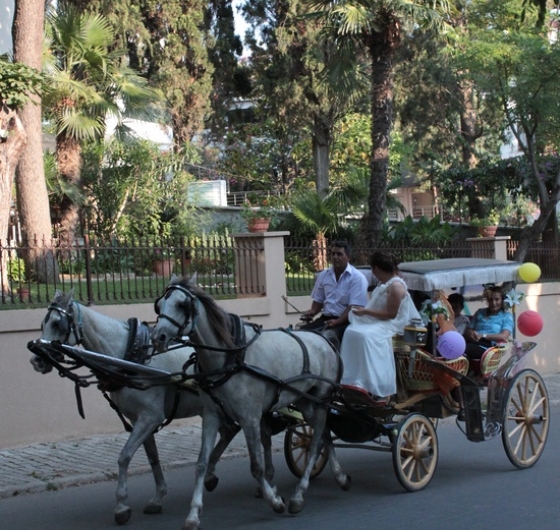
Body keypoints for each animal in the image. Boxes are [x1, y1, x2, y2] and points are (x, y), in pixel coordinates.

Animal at [30, 288, 241, 524]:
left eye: (57, 323)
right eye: (42, 323)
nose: (36, 361)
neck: (128, 355)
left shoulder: (150, 417)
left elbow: (124, 456)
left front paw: (121, 505)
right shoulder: (139, 419)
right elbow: (152, 458)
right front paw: (158, 498)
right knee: (230, 430)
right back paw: (210, 474)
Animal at [151, 276, 348, 528]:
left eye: (181, 305)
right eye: (159, 305)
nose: (158, 337)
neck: (230, 357)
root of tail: (325, 339)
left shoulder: (250, 418)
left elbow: (257, 467)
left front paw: (275, 501)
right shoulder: (212, 415)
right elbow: (201, 463)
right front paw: (193, 514)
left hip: (322, 400)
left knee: (315, 444)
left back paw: (298, 495)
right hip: (306, 402)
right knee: (323, 435)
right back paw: (340, 477)